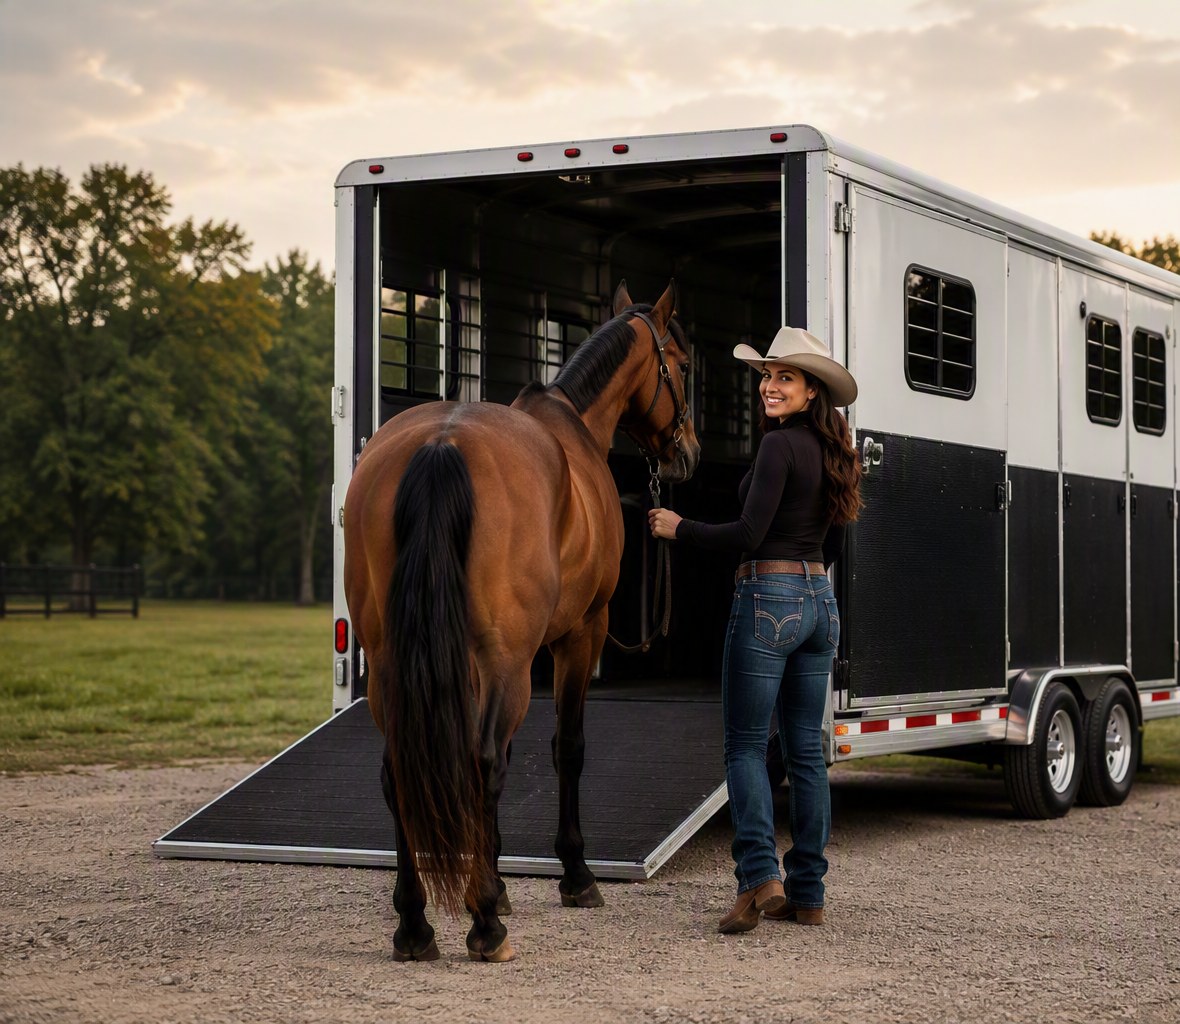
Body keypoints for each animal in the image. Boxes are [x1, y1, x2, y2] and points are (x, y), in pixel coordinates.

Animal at [342, 280, 700, 963]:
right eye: (684, 364)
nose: (688, 453)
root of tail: (441, 446)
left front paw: (502, 881)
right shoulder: (576, 636)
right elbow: (566, 748)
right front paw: (573, 877)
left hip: (394, 660)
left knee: (399, 768)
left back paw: (416, 926)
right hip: (509, 658)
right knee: (483, 761)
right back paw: (485, 926)